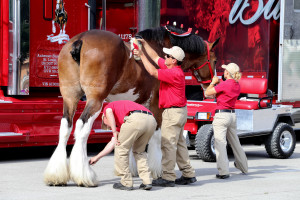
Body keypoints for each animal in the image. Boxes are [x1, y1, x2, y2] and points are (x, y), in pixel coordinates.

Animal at [43, 25, 219, 187]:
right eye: (215, 60)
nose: (212, 85)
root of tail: (80, 40)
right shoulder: (156, 105)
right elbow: (156, 136)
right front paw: (156, 171)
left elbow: (129, 135)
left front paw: (131, 169)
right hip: (95, 101)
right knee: (81, 128)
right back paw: (84, 175)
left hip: (69, 97)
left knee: (65, 128)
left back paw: (56, 175)